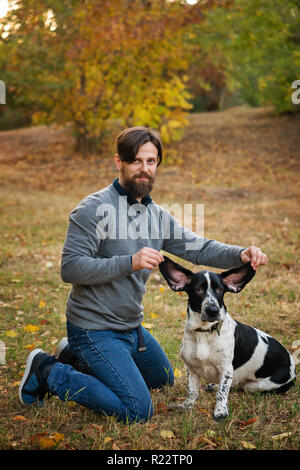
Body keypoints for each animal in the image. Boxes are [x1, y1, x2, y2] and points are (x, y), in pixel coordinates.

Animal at [159, 258, 296, 420]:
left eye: (219, 289)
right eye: (198, 289)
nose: (213, 310)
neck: (204, 332)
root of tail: (292, 364)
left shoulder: (226, 369)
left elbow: (222, 393)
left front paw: (220, 411)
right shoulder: (191, 368)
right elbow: (192, 391)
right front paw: (187, 406)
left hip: (256, 386)